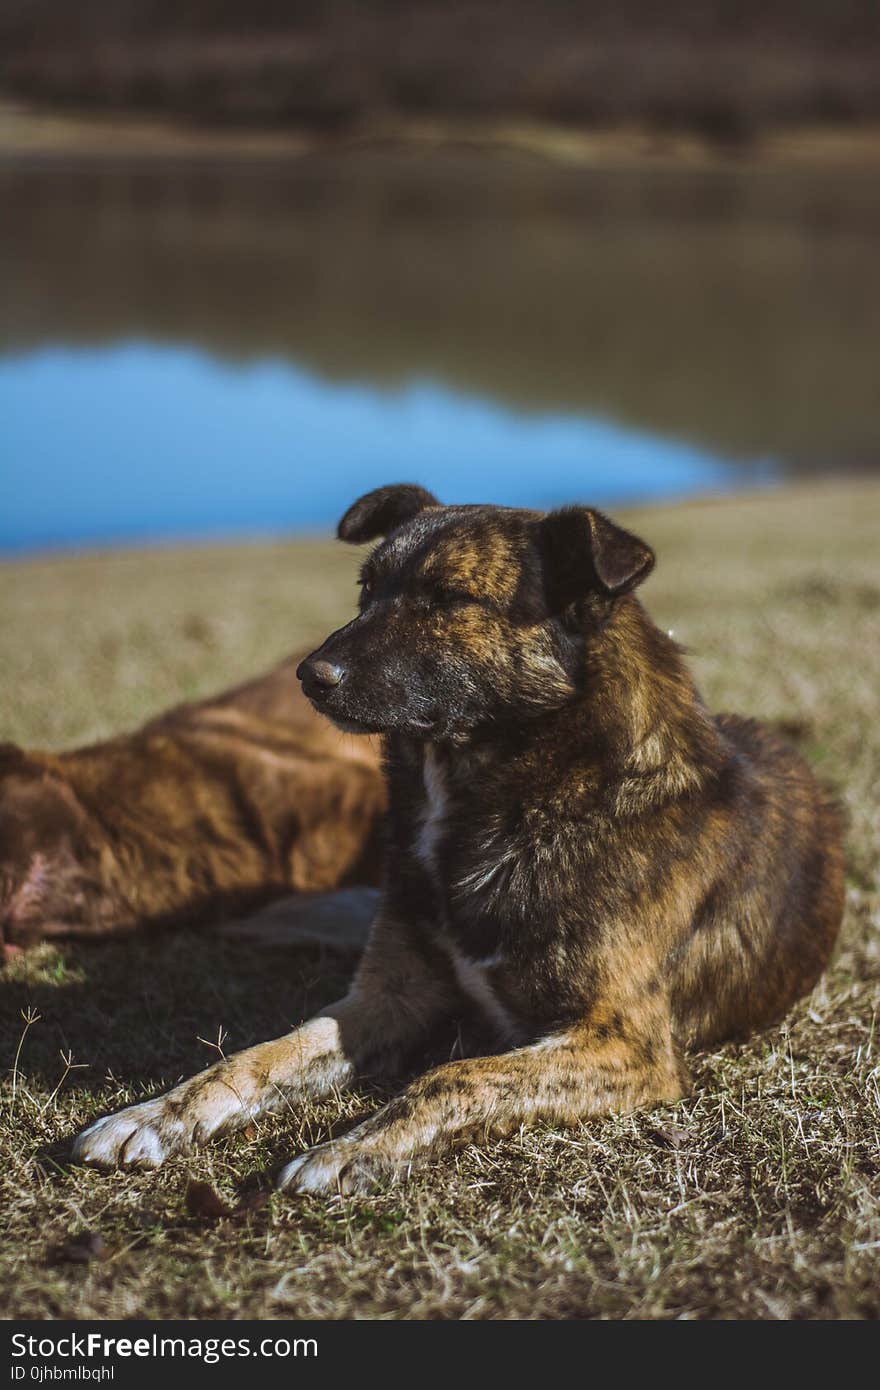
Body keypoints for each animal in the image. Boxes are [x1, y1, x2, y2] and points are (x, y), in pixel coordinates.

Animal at [71, 483, 839, 1189]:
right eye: (367, 589)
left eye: (447, 598)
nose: (309, 677)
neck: (516, 803)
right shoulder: (386, 999)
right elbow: (259, 1054)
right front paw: (154, 1114)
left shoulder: (625, 1044)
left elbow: (452, 1076)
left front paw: (350, 1150)